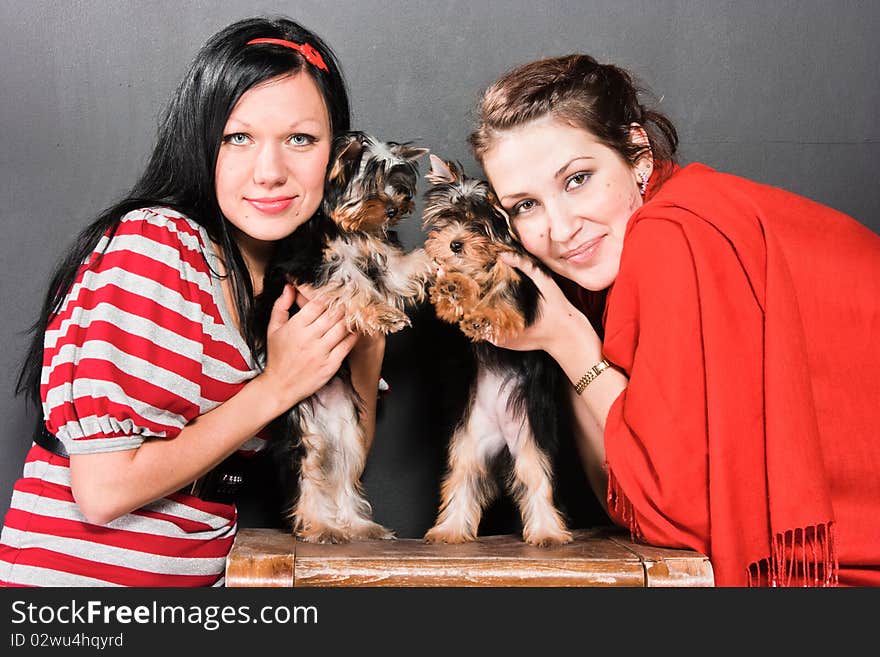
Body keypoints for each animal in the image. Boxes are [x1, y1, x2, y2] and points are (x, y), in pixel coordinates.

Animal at [256, 129, 432, 544]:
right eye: (370, 182)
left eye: (397, 182)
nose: (394, 208)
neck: (351, 230)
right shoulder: (316, 264)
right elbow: (351, 284)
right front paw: (383, 313)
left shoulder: (381, 255)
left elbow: (401, 267)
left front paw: (438, 256)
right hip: (303, 431)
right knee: (309, 475)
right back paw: (320, 527)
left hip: (347, 433)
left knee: (342, 474)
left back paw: (360, 526)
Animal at [422, 154, 576, 544]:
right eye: (448, 218)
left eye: (479, 226)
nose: (455, 244)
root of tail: (504, 439)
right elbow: (459, 285)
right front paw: (452, 290)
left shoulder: (524, 283)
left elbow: (503, 295)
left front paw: (483, 315)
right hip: (469, 440)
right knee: (464, 475)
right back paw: (449, 529)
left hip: (531, 439)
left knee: (537, 477)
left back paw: (548, 532)